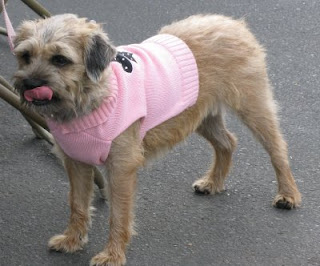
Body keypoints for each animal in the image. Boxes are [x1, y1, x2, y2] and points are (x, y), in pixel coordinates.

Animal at [12, 14, 302, 264]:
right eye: (25, 56)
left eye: (60, 59)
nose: (30, 84)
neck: (93, 99)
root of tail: (231, 22)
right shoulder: (77, 164)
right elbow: (77, 204)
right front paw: (72, 239)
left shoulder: (121, 170)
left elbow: (118, 215)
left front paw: (113, 255)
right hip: (200, 115)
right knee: (227, 142)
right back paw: (213, 182)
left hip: (253, 107)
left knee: (277, 148)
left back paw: (288, 194)